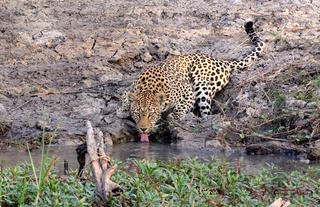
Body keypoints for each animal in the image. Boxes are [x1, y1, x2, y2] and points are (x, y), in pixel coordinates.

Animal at [119, 20, 264, 142]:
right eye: (137, 114)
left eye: (151, 114)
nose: (143, 129)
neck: (148, 88)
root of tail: (222, 61)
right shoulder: (130, 88)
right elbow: (125, 95)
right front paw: (122, 109)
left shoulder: (187, 92)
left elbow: (180, 107)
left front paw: (173, 117)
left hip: (201, 84)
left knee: (206, 113)